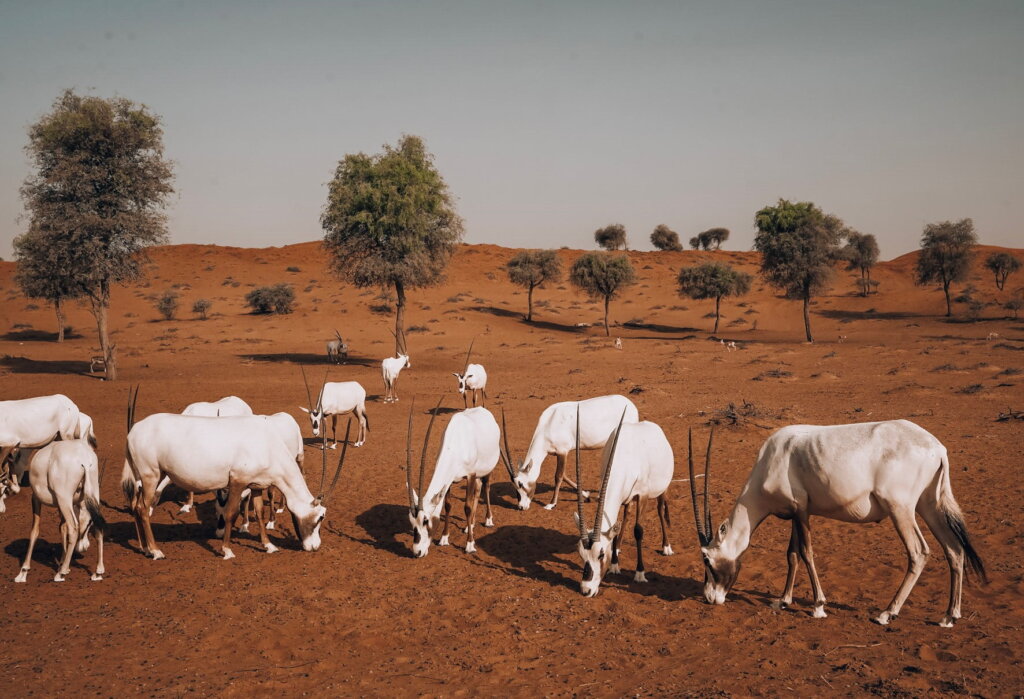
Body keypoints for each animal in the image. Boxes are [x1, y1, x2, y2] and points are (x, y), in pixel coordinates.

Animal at [14, 442, 104, 585]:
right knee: (98, 528)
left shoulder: (36, 498)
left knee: (73, 528)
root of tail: (84, 460)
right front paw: (62, 563)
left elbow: (35, 531)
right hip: (91, 495)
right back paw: (98, 572)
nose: (83, 547)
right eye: (89, 522)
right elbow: (62, 527)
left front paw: (23, 573)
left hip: (64, 499)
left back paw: (60, 574)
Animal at [692, 421, 987, 630]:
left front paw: (818, 606)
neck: (772, 458)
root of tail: (937, 447)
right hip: (929, 505)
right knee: (954, 550)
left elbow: (807, 553)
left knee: (919, 552)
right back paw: (949, 616)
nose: (709, 597)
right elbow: (792, 554)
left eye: (706, 558)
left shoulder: (801, 510)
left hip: (900, 508)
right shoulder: (797, 512)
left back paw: (887, 613)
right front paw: (783, 600)